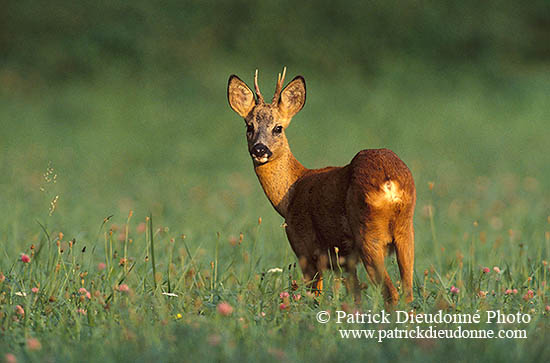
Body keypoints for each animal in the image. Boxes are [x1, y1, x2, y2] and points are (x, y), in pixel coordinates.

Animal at [229, 67, 418, 304]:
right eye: (249, 126)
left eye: (278, 128)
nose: (260, 149)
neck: (290, 194)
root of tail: (390, 183)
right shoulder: (344, 258)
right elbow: (354, 295)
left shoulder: (304, 244)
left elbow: (314, 294)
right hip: (405, 232)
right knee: (408, 292)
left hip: (369, 234)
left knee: (391, 293)